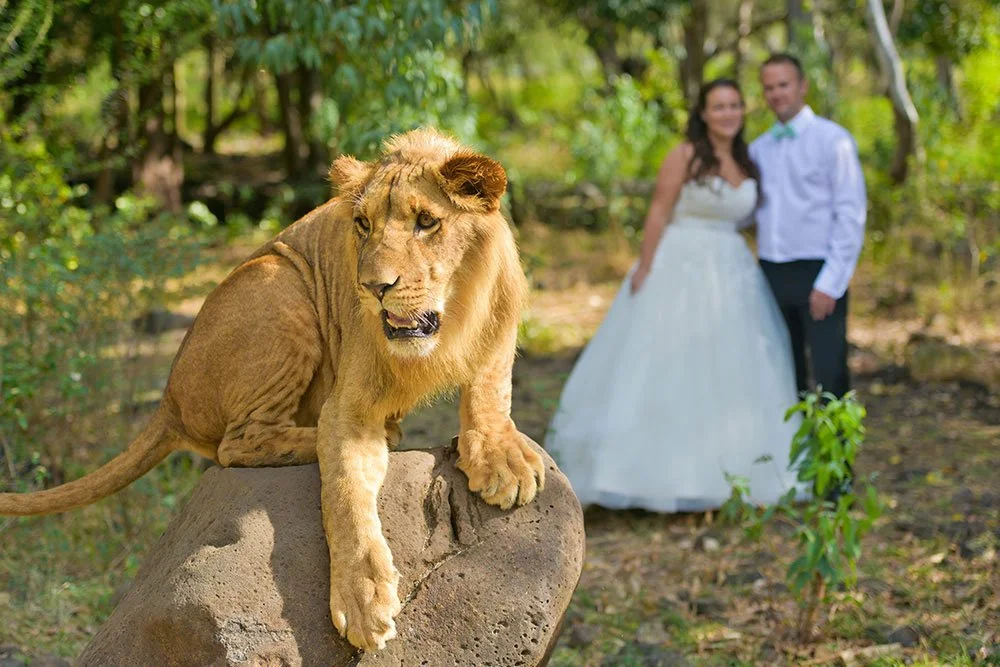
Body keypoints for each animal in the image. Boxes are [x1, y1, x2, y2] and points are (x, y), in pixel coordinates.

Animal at [0, 128, 545, 652]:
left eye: (426, 222)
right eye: (362, 224)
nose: (373, 287)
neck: (447, 323)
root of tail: (168, 398)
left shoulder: (499, 334)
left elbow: (490, 394)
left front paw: (502, 459)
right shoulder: (347, 408)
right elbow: (344, 495)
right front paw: (362, 596)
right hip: (283, 282)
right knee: (238, 444)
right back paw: (371, 435)